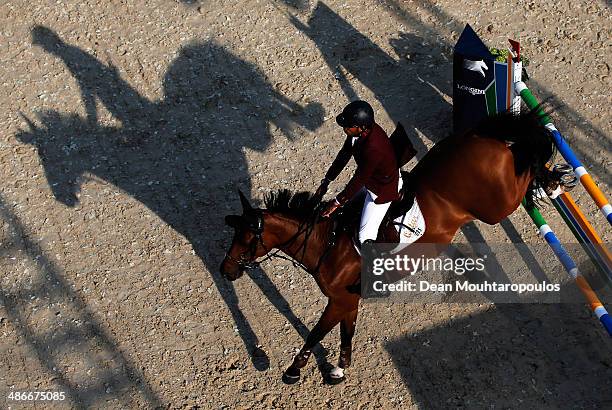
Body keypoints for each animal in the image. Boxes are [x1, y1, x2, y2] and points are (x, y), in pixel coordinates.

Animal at [219, 109, 560, 384]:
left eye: (246, 238)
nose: (225, 270)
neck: (327, 242)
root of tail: (480, 139)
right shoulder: (348, 300)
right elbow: (346, 333)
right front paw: (339, 369)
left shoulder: (338, 300)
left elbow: (317, 333)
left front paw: (293, 370)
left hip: (495, 207)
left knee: (524, 173)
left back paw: (551, 183)